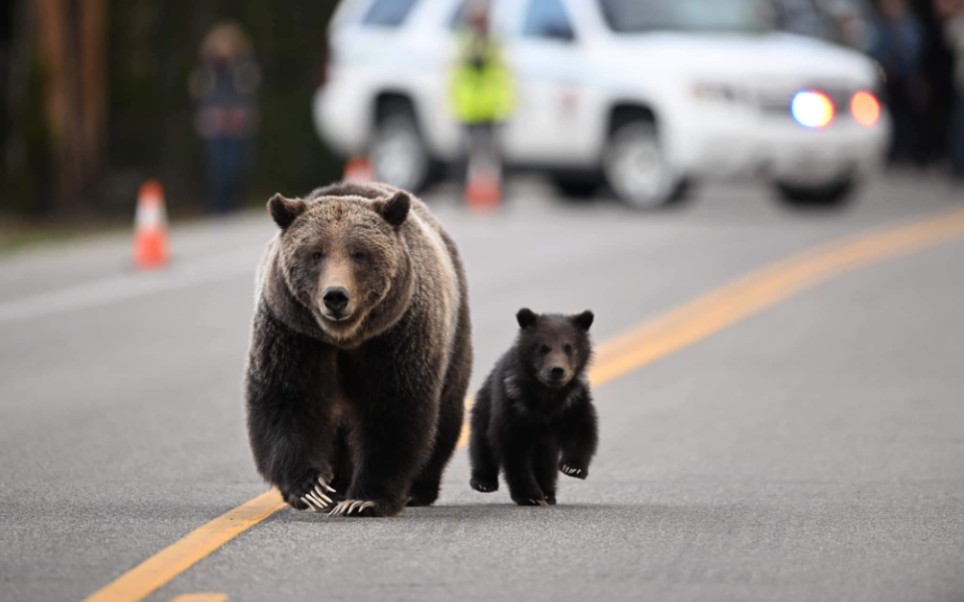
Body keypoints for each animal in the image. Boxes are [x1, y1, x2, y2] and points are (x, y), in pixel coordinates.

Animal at [245, 179, 470, 516]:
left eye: (360, 254)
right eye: (316, 253)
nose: (335, 296)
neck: (345, 338)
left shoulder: (396, 335)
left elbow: (394, 408)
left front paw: (365, 498)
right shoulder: (293, 334)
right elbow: (288, 399)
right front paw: (310, 489)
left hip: (454, 333)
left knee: (447, 412)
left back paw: (418, 489)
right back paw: (336, 486)